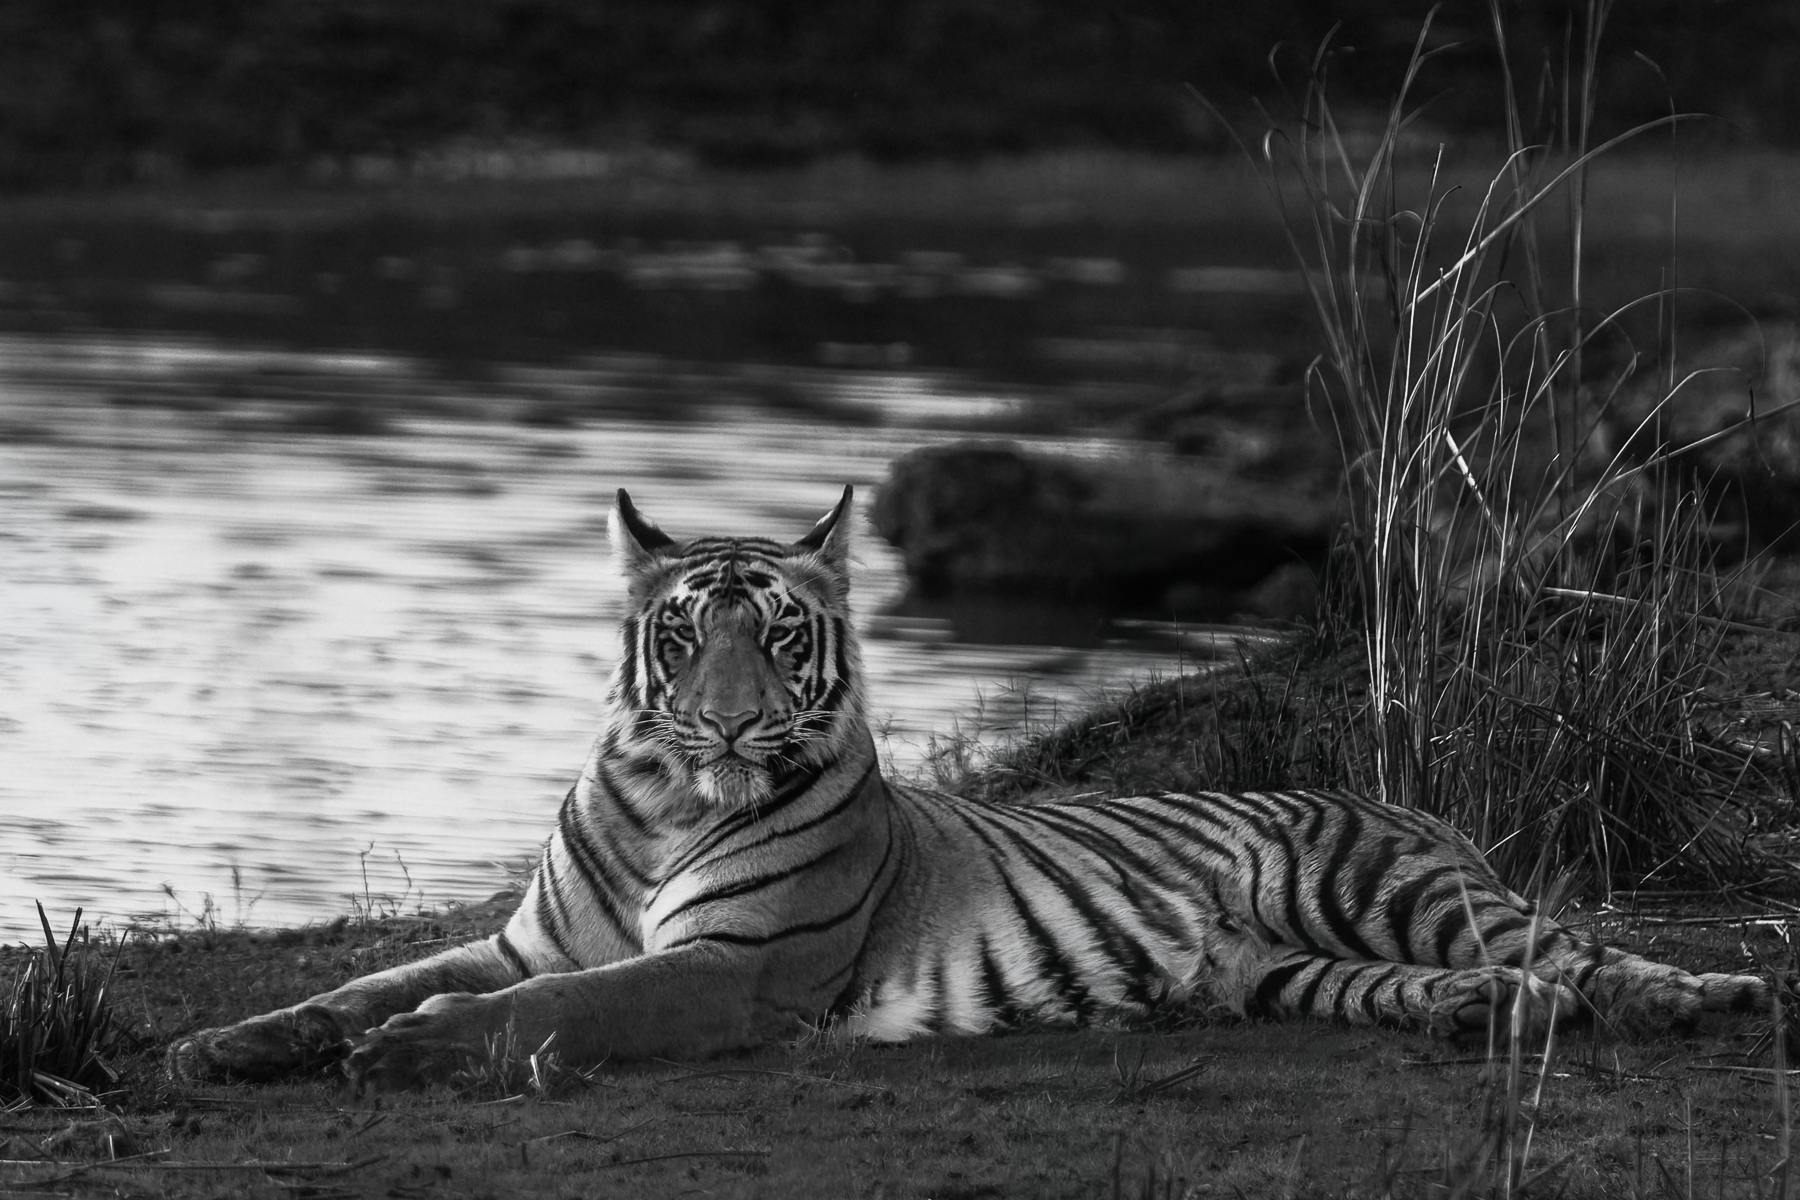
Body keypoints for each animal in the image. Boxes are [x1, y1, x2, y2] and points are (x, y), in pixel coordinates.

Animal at [169, 487, 1771, 1089]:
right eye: (683, 634)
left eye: (780, 633)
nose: (728, 724)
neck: (666, 798)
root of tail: (1411, 802)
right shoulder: (523, 938)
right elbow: (360, 985)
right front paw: (227, 1047)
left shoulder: (734, 971)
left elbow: (558, 1010)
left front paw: (419, 1048)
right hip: (1288, 971)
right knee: (1505, 984)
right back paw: (1477, 1022)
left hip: (1395, 890)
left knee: (1586, 952)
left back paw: (1698, 1002)